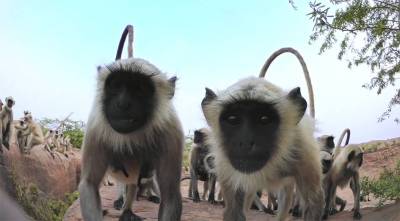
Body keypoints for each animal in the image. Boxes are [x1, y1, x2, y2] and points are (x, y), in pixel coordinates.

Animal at [78, 23, 184, 221]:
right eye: (116, 85)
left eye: (140, 89)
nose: (122, 103)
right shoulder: (96, 126)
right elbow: (89, 183)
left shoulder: (172, 131)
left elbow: (171, 193)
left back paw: (131, 208)